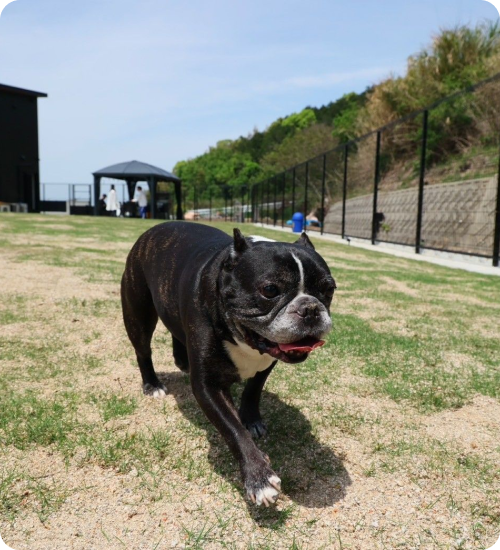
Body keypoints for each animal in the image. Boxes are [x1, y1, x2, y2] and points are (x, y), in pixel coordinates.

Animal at [121, 222, 336, 506]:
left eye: (329, 289)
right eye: (270, 290)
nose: (310, 308)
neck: (244, 339)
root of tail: (152, 230)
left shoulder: (266, 364)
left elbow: (253, 390)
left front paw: (252, 419)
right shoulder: (208, 387)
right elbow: (233, 430)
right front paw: (259, 478)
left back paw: (182, 361)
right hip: (139, 313)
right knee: (143, 349)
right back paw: (152, 384)